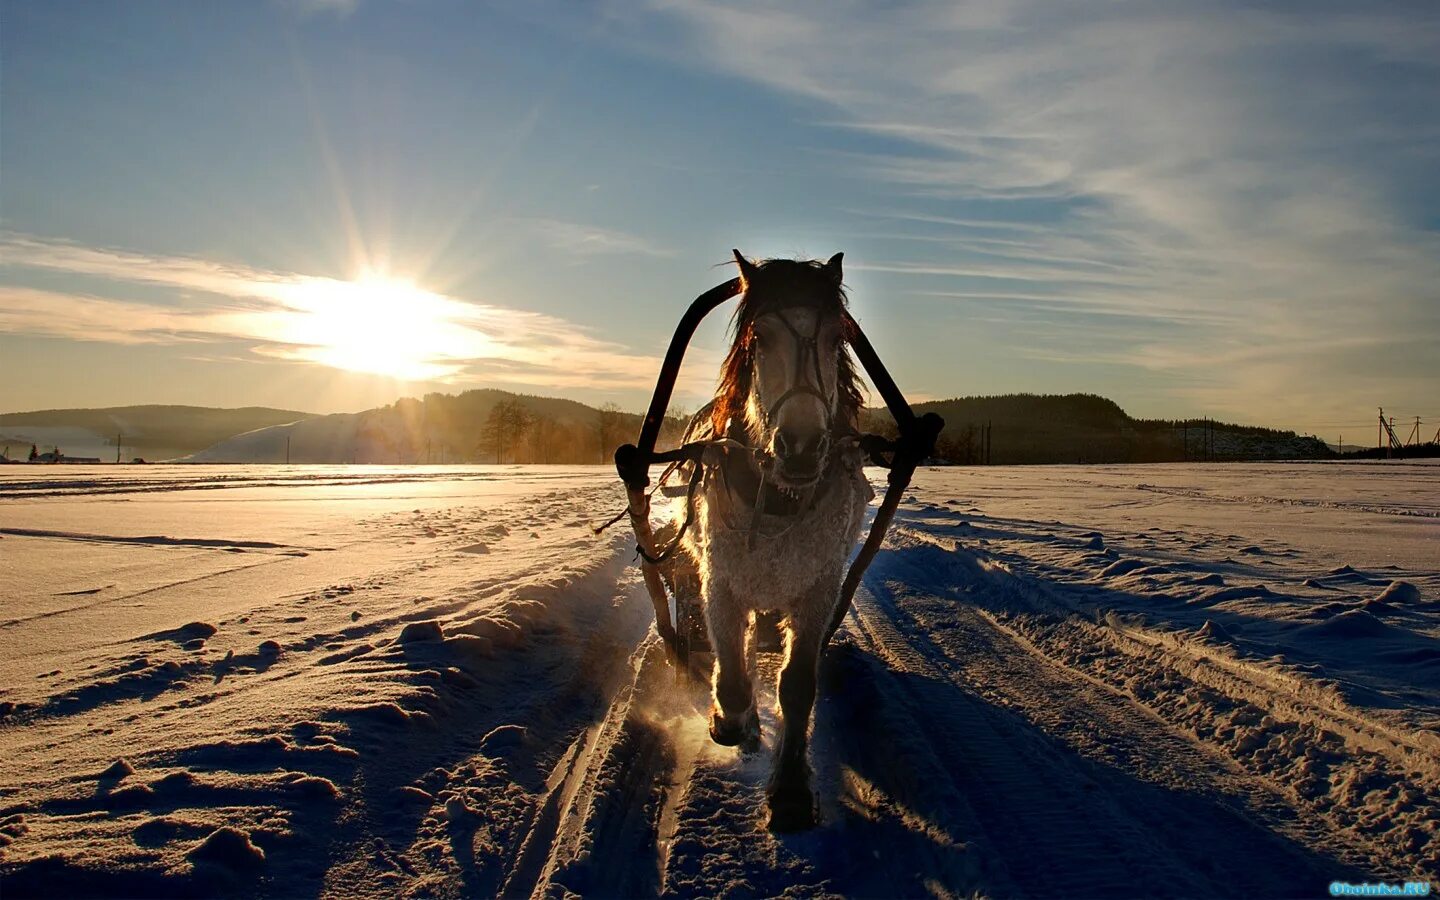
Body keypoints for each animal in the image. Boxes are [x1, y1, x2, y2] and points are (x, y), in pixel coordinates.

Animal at [671, 247, 869, 829]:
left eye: (836, 336)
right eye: (759, 337)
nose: (801, 446)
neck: (780, 498)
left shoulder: (818, 588)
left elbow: (797, 684)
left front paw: (791, 790)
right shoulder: (721, 580)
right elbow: (734, 675)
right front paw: (733, 721)